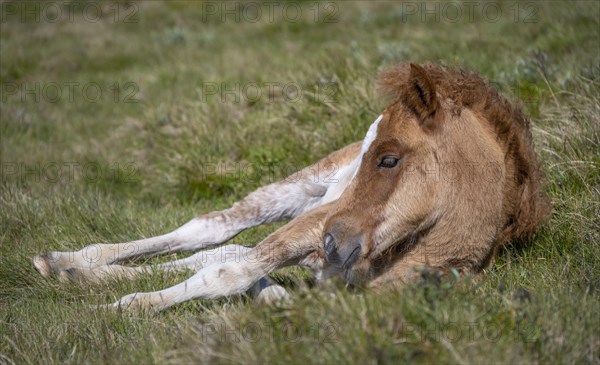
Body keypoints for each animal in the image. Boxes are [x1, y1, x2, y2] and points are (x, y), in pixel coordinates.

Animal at [31, 61, 548, 310]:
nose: (336, 242)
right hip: (305, 195)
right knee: (211, 230)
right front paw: (121, 309)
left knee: (223, 249)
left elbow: (230, 269)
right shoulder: (316, 225)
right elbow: (227, 272)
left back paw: (76, 273)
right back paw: (67, 262)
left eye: (389, 159)